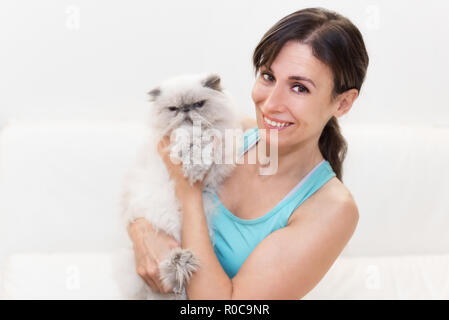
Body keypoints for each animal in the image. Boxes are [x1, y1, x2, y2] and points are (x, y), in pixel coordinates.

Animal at [115, 72, 242, 300]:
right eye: (173, 108)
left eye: (199, 104)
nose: (185, 110)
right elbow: (186, 141)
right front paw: (192, 165)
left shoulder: (219, 157)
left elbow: (205, 148)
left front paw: (195, 167)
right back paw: (179, 262)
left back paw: (181, 263)